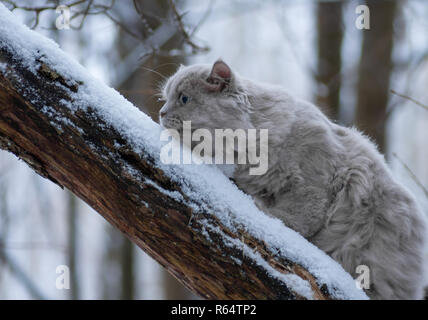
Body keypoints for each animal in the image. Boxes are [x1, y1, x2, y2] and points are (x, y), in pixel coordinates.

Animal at [159, 60, 426, 300]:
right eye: (166, 98)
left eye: (184, 99)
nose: (161, 113)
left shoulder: (313, 187)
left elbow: (295, 219)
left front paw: (263, 211)